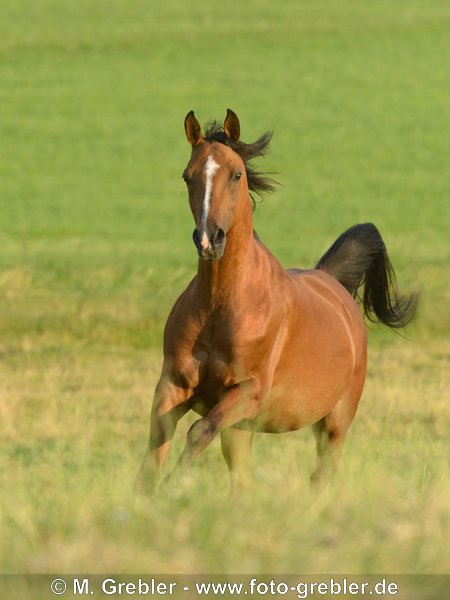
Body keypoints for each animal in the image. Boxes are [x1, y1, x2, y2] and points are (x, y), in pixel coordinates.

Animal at [138, 108, 418, 492]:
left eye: (236, 175)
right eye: (187, 176)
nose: (210, 240)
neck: (220, 306)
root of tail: (333, 283)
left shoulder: (248, 391)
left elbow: (198, 431)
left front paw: (173, 483)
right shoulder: (173, 385)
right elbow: (155, 447)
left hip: (334, 424)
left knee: (322, 475)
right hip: (243, 427)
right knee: (243, 475)